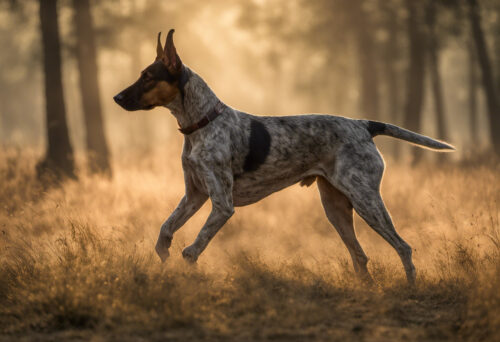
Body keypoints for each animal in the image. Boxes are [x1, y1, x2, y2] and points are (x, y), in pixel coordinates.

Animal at [115, 29, 456, 284]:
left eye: (147, 77)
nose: (116, 97)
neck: (202, 123)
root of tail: (363, 124)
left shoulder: (221, 205)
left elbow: (192, 250)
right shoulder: (194, 195)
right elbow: (165, 230)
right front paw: (164, 256)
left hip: (366, 202)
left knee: (404, 247)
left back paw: (411, 288)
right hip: (336, 209)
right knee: (360, 257)